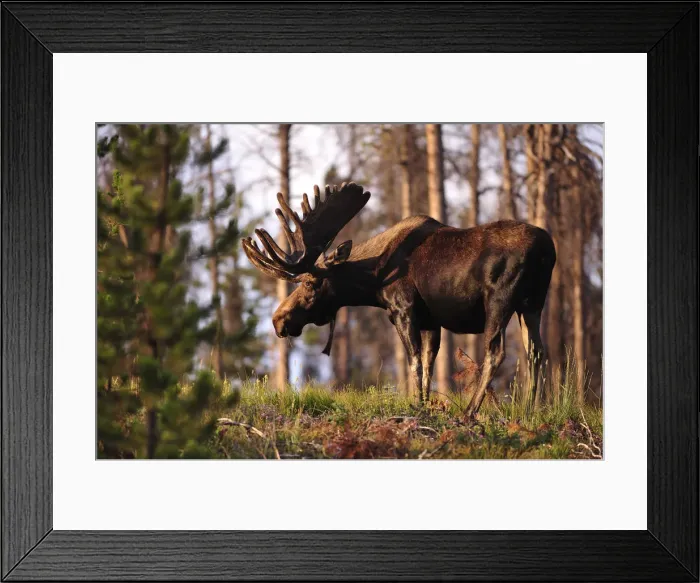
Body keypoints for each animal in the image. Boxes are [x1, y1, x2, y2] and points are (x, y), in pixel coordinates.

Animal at [242, 182, 556, 417]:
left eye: (310, 283)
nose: (278, 320)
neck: (374, 278)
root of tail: (546, 250)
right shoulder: (431, 321)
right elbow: (429, 364)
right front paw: (426, 404)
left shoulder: (403, 309)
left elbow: (414, 361)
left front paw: (416, 406)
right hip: (533, 303)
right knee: (536, 352)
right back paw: (531, 409)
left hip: (500, 301)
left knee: (496, 352)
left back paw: (469, 412)